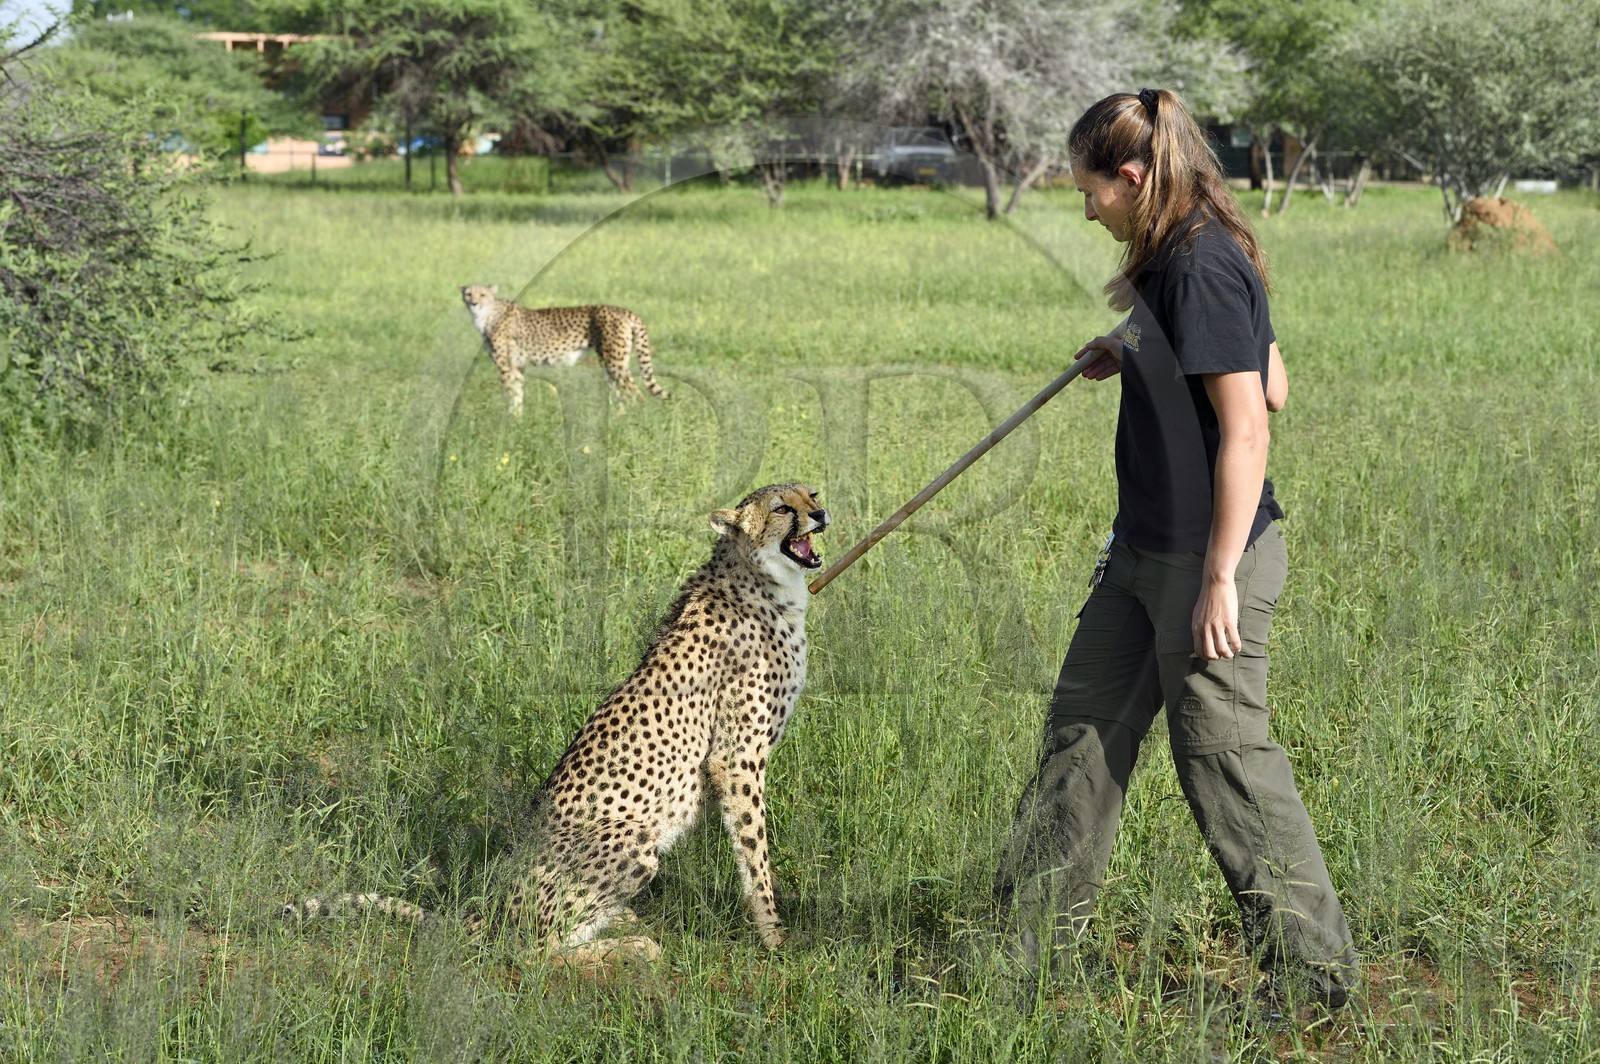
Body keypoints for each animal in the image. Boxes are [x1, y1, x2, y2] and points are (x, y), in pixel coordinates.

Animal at [285, 483, 829, 971]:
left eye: (812, 494)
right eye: (782, 507)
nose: (822, 513)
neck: (763, 581)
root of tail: (490, 907)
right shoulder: (736, 759)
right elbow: (754, 853)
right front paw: (775, 936)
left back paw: (622, 922)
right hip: (633, 841)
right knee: (529, 952)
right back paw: (628, 948)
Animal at [460, 284, 670, 414]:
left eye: (482, 294)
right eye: (468, 294)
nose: (473, 303)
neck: (487, 314)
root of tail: (623, 310)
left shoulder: (505, 366)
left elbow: (509, 394)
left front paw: (506, 425)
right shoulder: (517, 367)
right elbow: (518, 396)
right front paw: (517, 423)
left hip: (615, 363)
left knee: (636, 395)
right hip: (609, 364)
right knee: (621, 395)